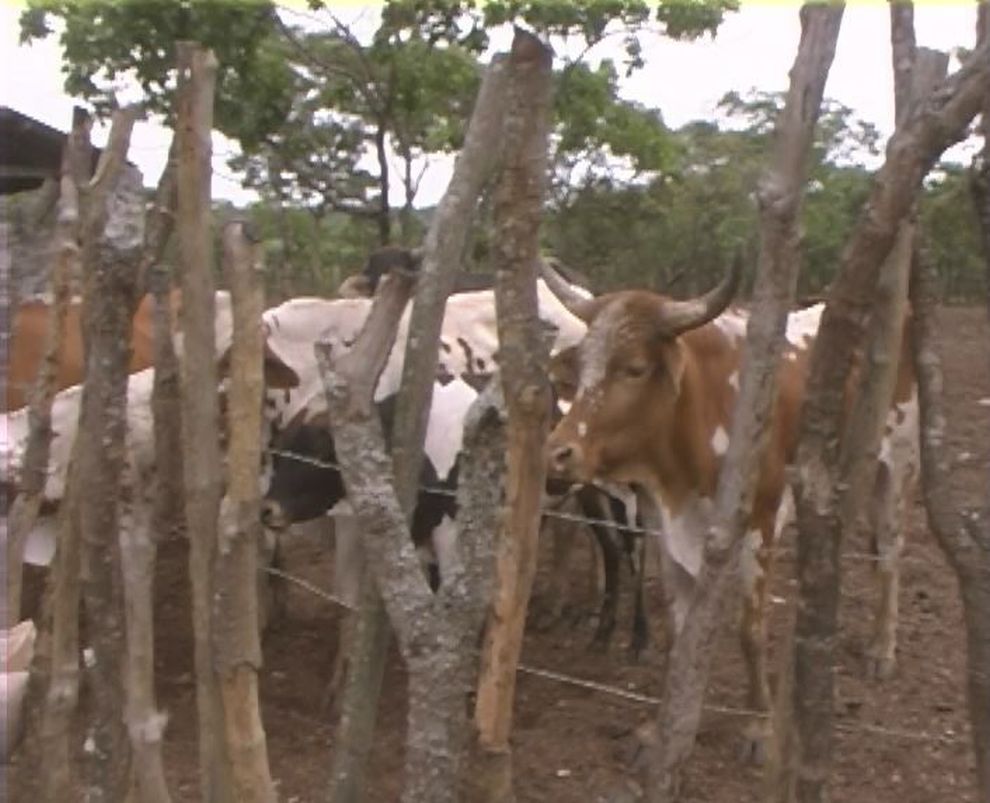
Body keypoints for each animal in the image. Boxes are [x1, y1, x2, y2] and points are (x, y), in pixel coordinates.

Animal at [544, 260, 924, 760]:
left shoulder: (759, 525)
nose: (558, 453)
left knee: (891, 553)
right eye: (582, 364)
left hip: (898, 462)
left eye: (635, 369)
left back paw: (882, 648)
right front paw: (661, 729)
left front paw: (759, 727)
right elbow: (679, 631)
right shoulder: (668, 527)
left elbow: (750, 630)